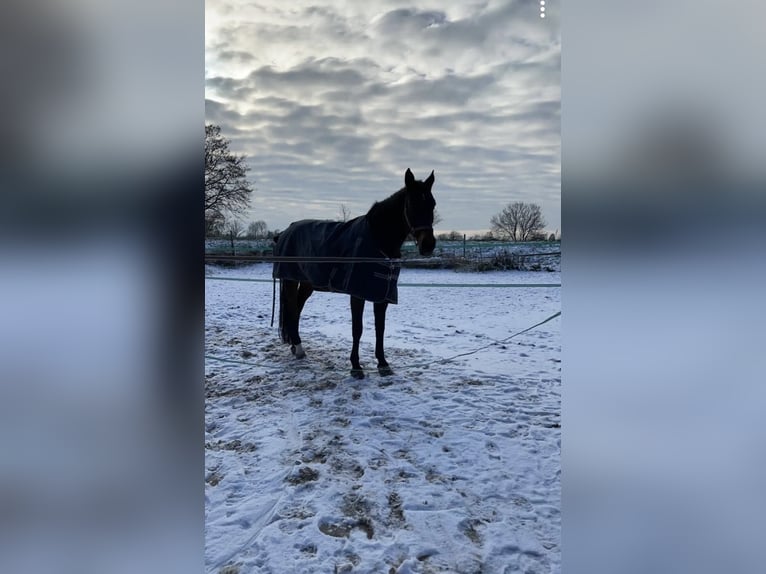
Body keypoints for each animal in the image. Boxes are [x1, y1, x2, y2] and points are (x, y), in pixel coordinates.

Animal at [272, 169, 436, 380]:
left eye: (432, 204)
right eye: (412, 203)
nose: (428, 245)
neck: (378, 239)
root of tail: (285, 232)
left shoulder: (381, 294)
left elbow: (380, 328)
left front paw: (383, 364)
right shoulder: (357, 293)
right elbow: (357, 329)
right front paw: (356, 366)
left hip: (307, 283)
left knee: (297, 309)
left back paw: (295, 346)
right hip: (290, 280)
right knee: (292, 308)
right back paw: (298, 347)